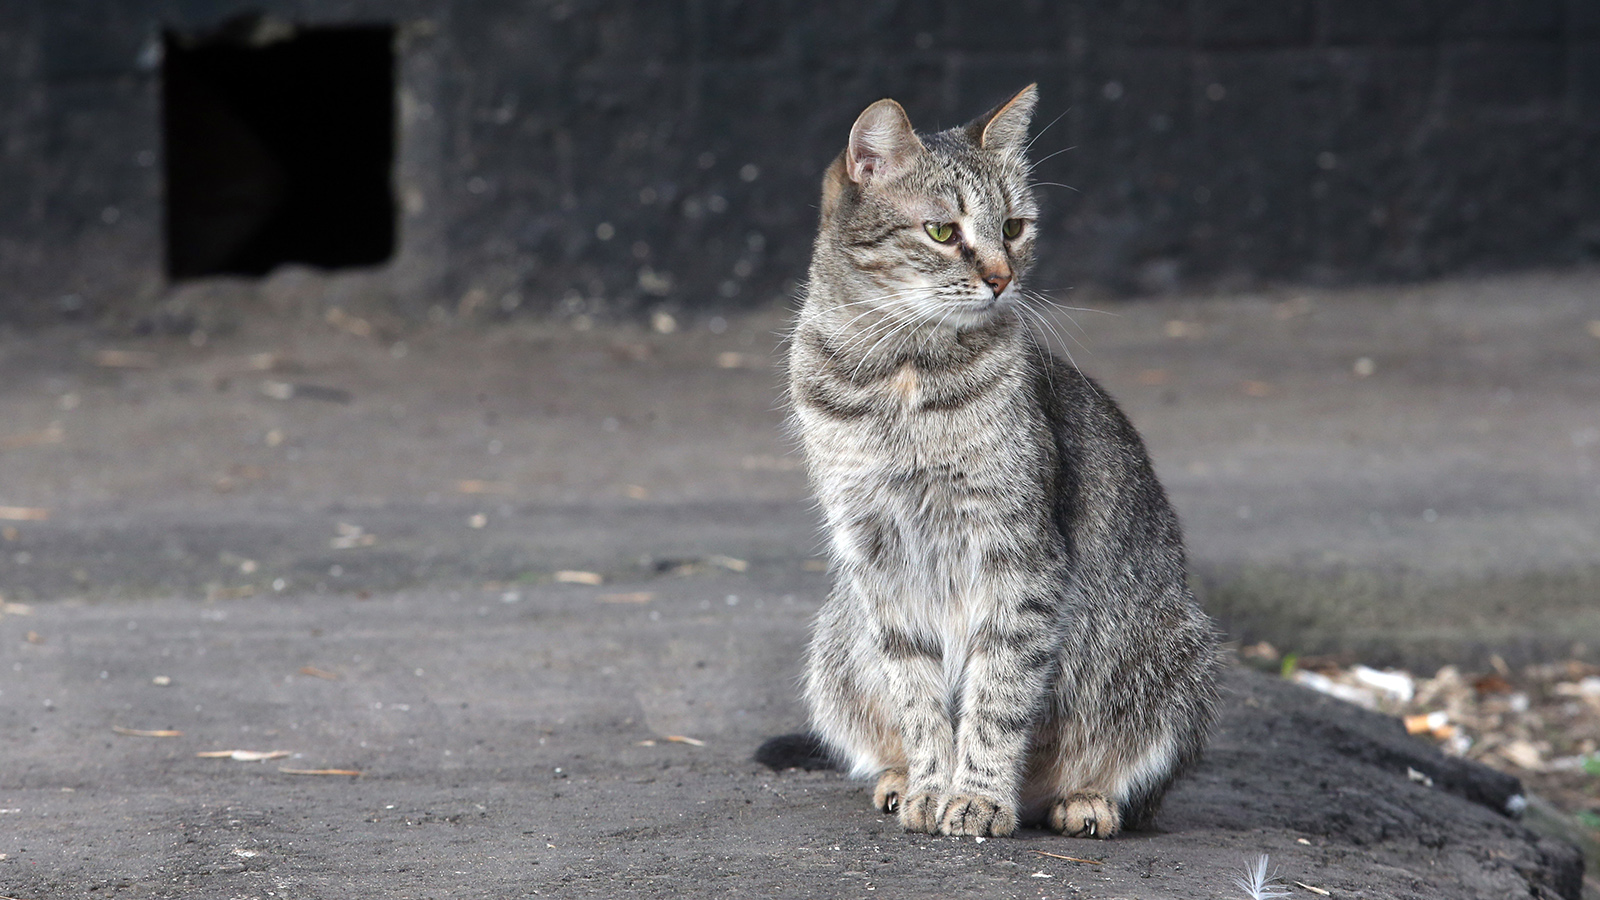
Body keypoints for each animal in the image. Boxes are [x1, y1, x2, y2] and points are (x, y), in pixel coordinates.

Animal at [774, 87, 1209, 839]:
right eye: (943, 232)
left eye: (1013, 227)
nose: (1002, 279)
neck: (903, 375)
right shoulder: (877, 558)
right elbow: (918, 697)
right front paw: (930, 785)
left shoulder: (1019, 555)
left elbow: (998, 696)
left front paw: (977, 796)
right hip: (835, 638)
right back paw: (897, 780)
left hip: (1175, 652)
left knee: (1133, 785)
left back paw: (1082, 800)